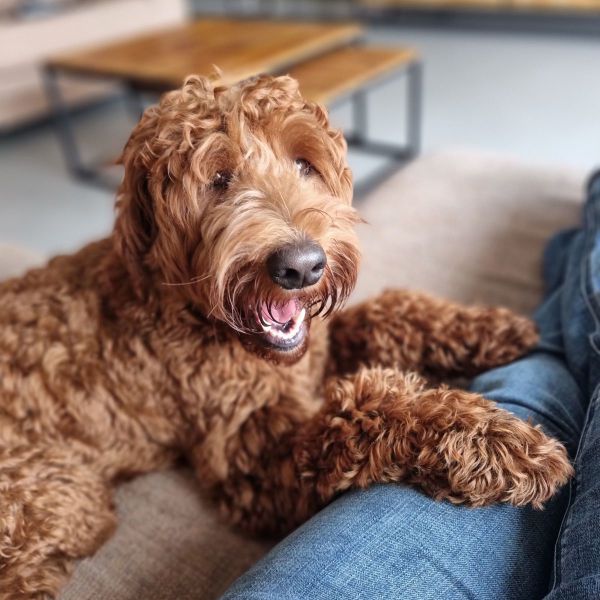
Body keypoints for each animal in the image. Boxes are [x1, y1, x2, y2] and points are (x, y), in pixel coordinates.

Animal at [0, 74, 572, 596]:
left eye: (304, 164)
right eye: (217, 179)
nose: (302, 266)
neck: (195, 316)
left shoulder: (316, 350)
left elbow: (387, 314)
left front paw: (490, 328)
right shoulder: (251, 465)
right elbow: (360, 415)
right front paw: (493, 440)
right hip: (53, 499)